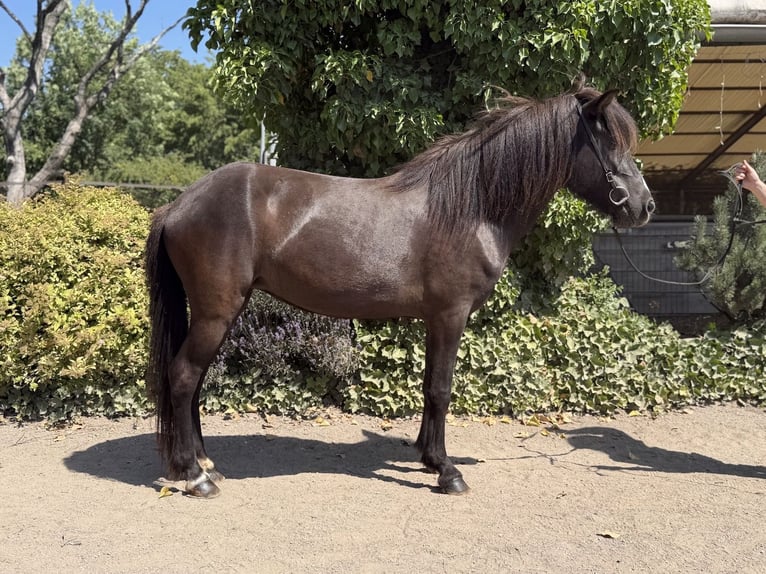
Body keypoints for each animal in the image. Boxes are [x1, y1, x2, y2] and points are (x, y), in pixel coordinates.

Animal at [145, 84, 655, 498]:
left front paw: (429, 458)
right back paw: (195, 476)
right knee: (184, 376)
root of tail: (180, 203)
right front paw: (448, 472)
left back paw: (205, 462)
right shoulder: (451, 314)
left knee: (193, 382)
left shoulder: (436, 319)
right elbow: (442, 389)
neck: (471, 206)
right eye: (611, 142)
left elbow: (430, 386)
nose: (644, 206)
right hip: (217, 312)